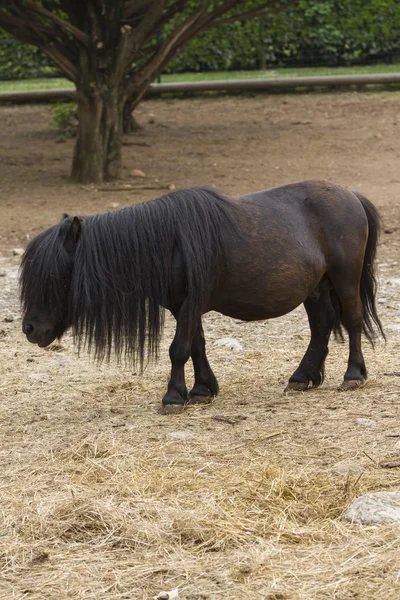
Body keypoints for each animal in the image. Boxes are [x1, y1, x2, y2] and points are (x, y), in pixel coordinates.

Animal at [21, 182, 384, 408]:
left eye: (54, 276)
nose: (30, 329)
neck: (168, 244)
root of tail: (352, 196)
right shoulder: (184, 306)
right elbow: (196, 346)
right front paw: (202, 390)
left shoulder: (189, 304)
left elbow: (179, 349)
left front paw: (174, 396)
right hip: (316, 288)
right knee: (321, 326)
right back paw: (302, 377)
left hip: (344, 278)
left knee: (352, 320)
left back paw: (353, 375)